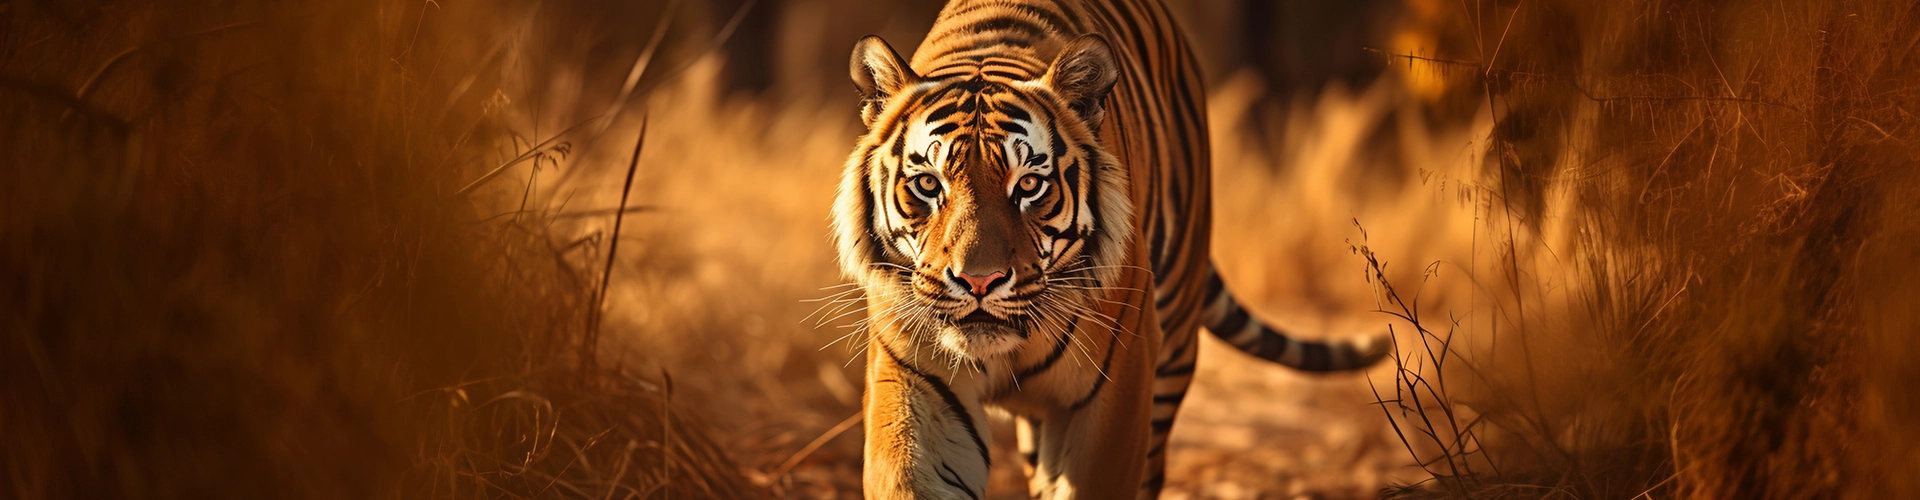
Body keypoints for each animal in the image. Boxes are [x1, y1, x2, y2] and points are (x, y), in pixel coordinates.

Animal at [831, 0, 1391, 497]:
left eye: (1029, 185)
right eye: (928, 184)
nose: (979, 282)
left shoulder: (1116, 388)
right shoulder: (915, 380)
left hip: (1172, 350)